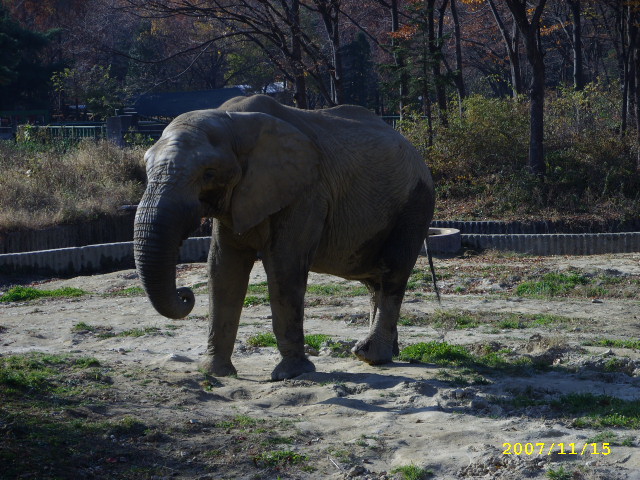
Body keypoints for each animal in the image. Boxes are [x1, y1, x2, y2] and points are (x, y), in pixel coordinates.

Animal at [134, 94, 436, 378]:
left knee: (392, 273)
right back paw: (385, 353)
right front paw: (215, 372)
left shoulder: (306, 192)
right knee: (375, 282)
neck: (232, 119)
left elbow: (284, 264)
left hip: (414, 204)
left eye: (208, 173)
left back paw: (372, 356)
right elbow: (223, 267)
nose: (186, 294)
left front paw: (290, 374)